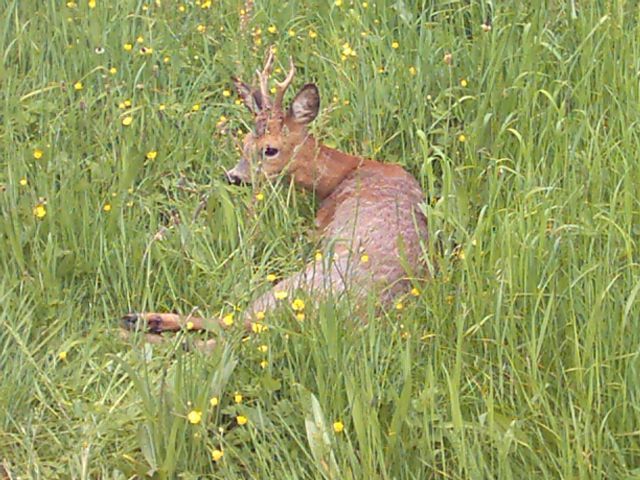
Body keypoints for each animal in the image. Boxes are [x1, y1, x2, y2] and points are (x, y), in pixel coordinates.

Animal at [120, 48, 430, 346]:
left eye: (269, 149)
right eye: (245, 142)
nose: (233, 176)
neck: (349, 171)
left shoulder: (321, 222)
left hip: (290, 287)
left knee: (230, 330)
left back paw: (139, 324)